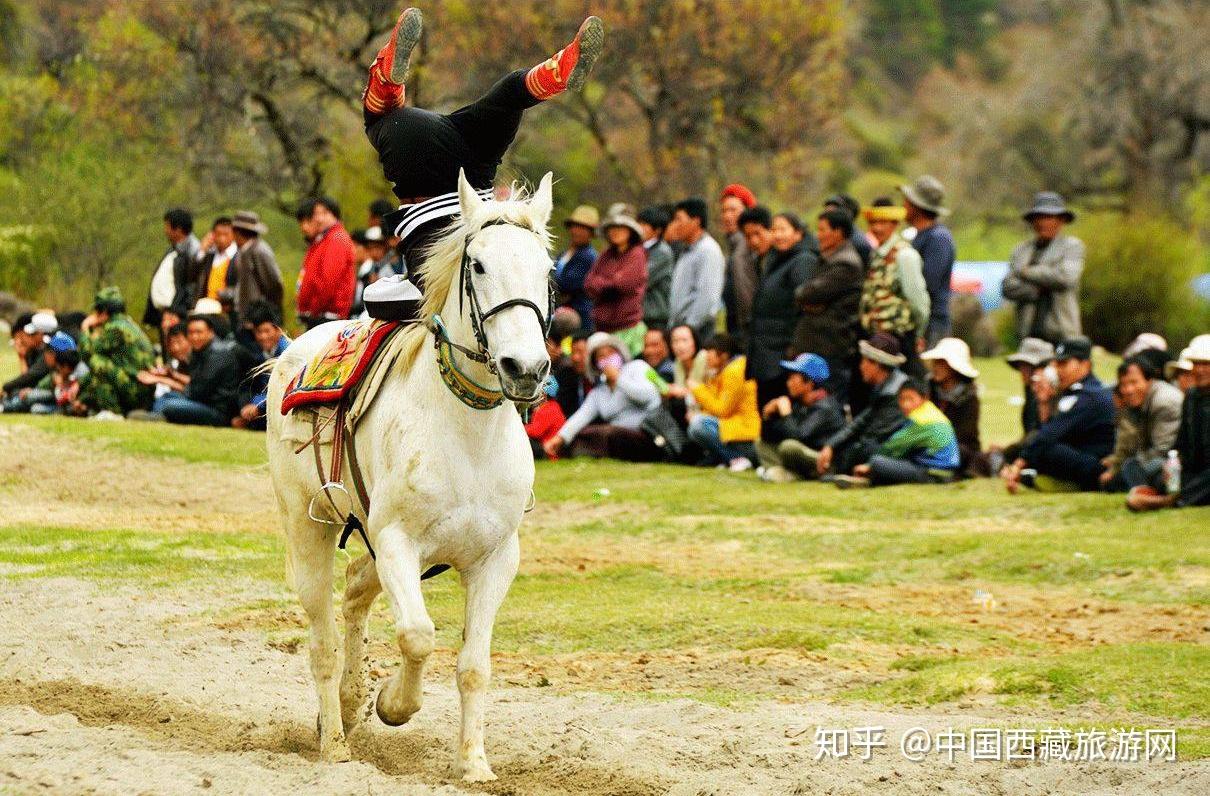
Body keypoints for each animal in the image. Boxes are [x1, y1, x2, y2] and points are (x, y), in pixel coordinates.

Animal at [267, 170, 554, 779]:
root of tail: (294, 348)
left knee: (356, 588)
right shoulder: (398, 541)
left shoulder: (496, 559)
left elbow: (474, 665)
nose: (525, 368)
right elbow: (418, 636)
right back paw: (335, 741)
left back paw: (349, 704)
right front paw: (394, 705)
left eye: (546, 270)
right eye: (478, 266)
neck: (468, 436)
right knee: (323, 638)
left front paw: (474, 765)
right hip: (310, 529)